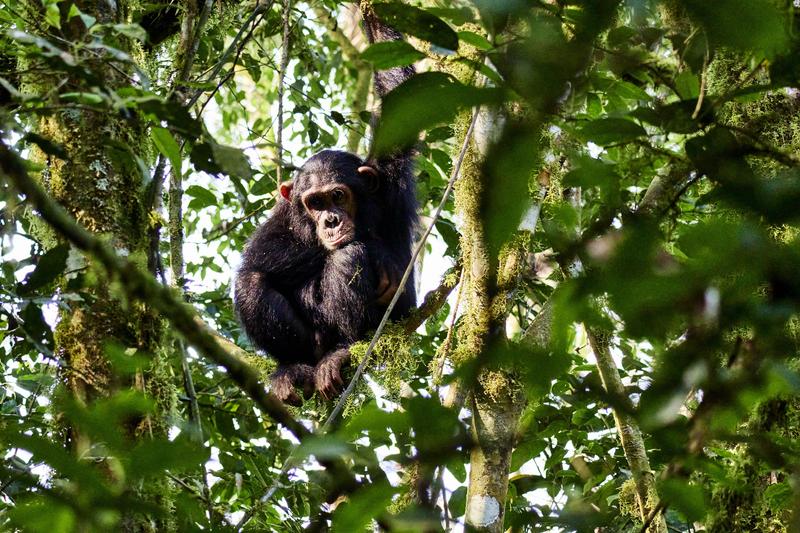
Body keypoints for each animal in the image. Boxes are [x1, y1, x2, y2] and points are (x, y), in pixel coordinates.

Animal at [233, 4, 416, 406]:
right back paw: (292, 369)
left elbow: (401, 95)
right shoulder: (285, 216)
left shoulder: (390, 174)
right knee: (251, 281)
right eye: (314, 202)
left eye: (337, 196)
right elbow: (261, 255)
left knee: (348, 256)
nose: (330, 220)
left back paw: (342, 352)